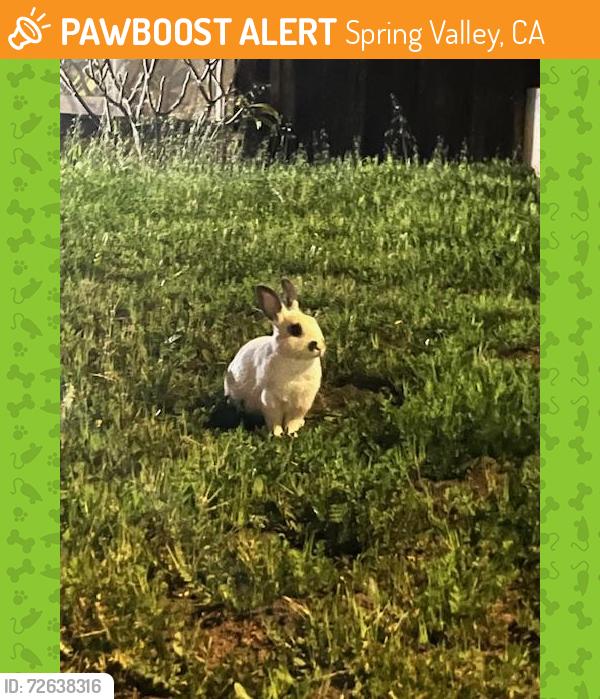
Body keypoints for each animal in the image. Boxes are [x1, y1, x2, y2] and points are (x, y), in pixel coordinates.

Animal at [224, 279, 325, 436]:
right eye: (295, 330)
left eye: (313, 321)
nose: (319, 346)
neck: (296, 361)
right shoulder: (270, 399)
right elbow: (274, 420)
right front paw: (277, 434)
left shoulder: (302, 402)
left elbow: (293, 420)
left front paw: (292, 432)